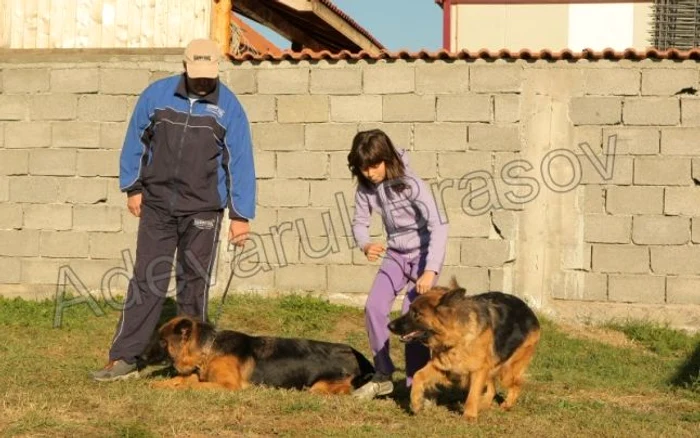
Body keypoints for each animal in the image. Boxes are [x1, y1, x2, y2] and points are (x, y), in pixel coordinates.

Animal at [150, 314, 374, 394]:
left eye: (161, 341)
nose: (142, 357)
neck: (209, 348)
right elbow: (183, 379)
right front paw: (162, 384)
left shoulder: (229, 385)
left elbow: (191, 384)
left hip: (318, 388)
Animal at [388, 278, 540, 420]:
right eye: (410, 309)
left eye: (417, 314)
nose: (389, 325)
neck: (457, 338)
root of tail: (528, 310)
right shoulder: (443, 366)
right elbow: (418, 375)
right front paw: (415, 402)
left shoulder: (478, 370)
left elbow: (472, 394)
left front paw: (469, 416)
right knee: (492, 388)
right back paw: (484, 403)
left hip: (507, 371)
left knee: (515, 385)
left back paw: (507, 404)